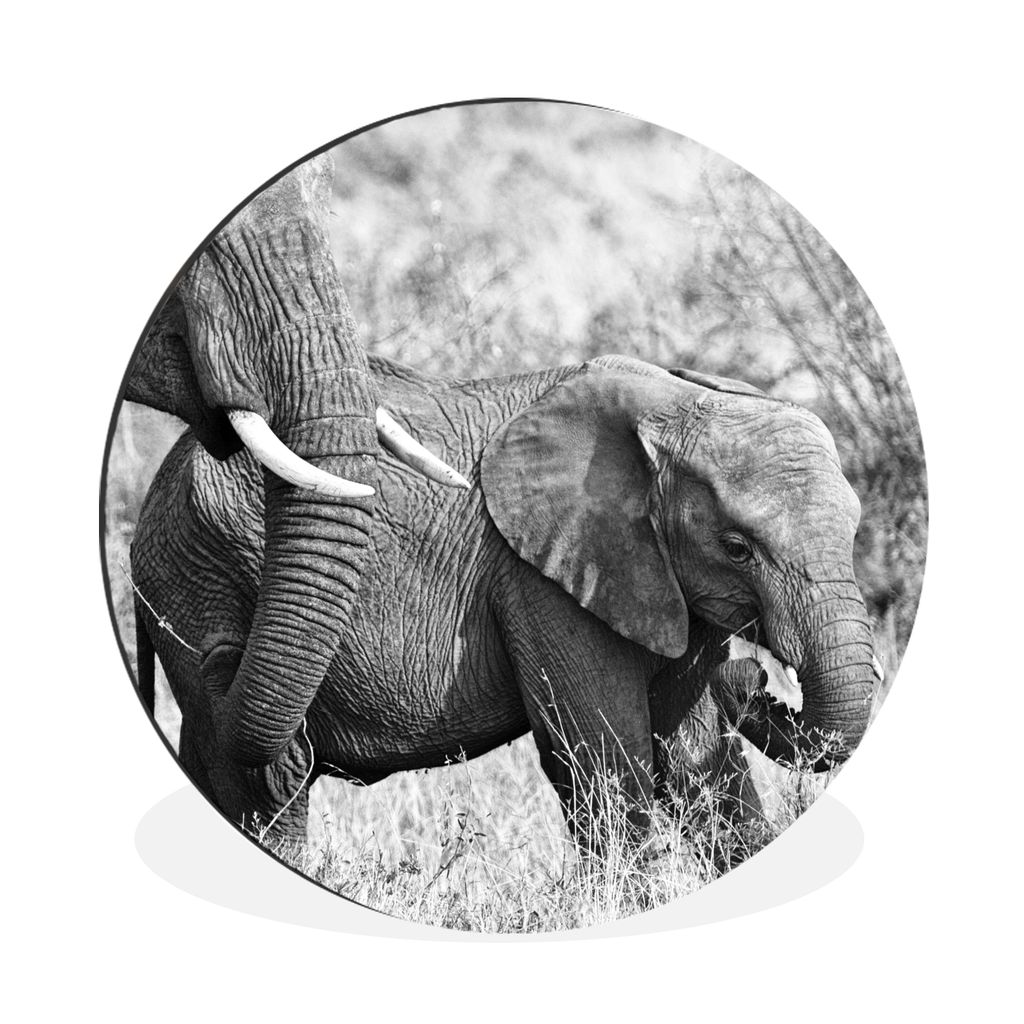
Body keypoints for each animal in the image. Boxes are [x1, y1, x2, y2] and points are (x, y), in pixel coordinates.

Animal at [128, 344, 884, 851]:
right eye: (737, 548)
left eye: (855, 530)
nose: (754, 678)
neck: (667, 403)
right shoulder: (545, 579)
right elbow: (604, 761)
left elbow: (700, 757)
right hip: (198, 577)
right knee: (270, 786)